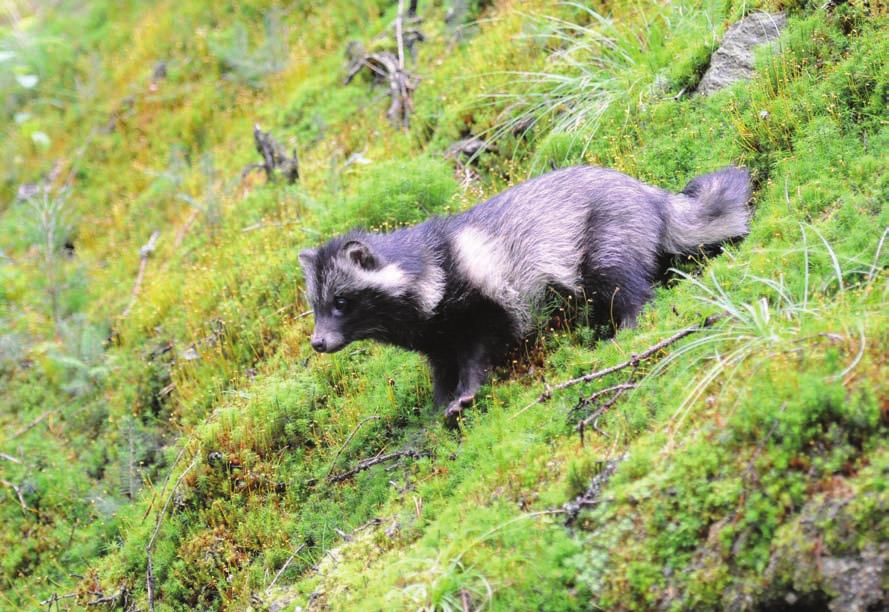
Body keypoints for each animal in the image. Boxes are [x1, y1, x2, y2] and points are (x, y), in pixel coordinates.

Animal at [298, 167, 748, 426]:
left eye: (342, 301)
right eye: (316, 305)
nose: (318, 342)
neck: (426, 269)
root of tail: (652, 196)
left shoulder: (481, 300)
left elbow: (479, 351)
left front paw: (465, 395)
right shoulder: (435, 336)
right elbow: (441, 367)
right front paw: (438, 405)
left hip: (608, 234)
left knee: (625, 283)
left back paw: (628, 327)